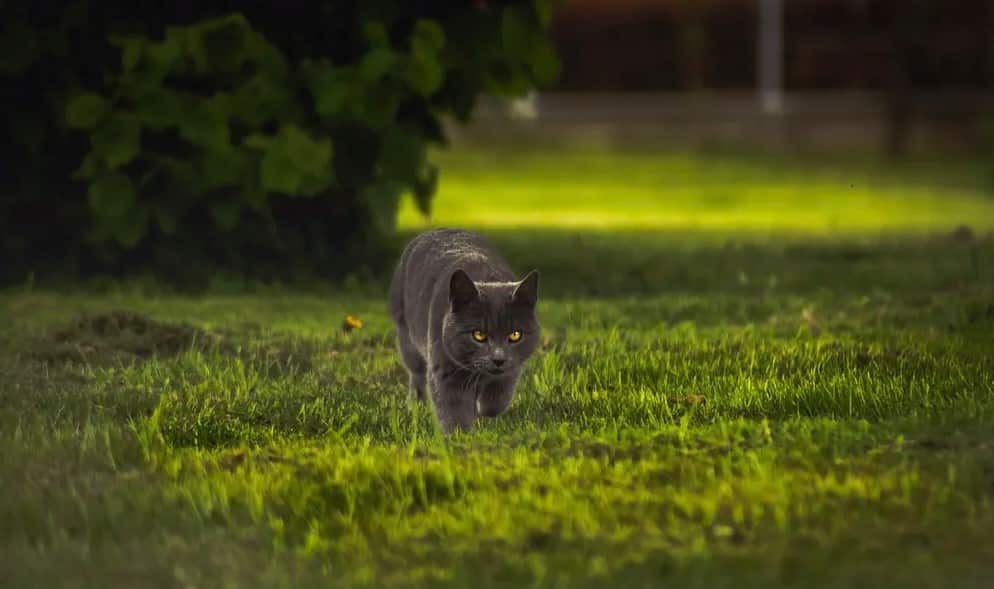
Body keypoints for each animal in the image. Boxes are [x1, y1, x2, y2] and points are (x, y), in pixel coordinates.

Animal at [390, 229, 544, 432]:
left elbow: (500, 394)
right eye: (478, 335)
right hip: (405, 332)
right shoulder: (444, 368)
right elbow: (452, 408)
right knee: (416, 373)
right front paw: (459, 434)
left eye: (515, 335)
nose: (498, 359)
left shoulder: (512, 368)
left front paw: (485, 409)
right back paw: (415, 403)